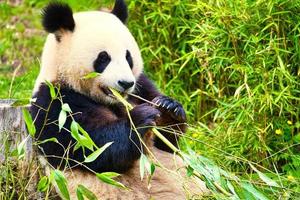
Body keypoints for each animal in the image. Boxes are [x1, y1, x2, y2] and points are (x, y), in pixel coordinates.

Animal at [30, 0, 206, 198]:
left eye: (128, 56)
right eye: (103, 58)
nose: (126, 83)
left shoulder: (141, 87)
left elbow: (167, 144)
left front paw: (168, 108)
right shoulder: (55, 103)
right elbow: (95, 147)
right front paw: (141, 119)